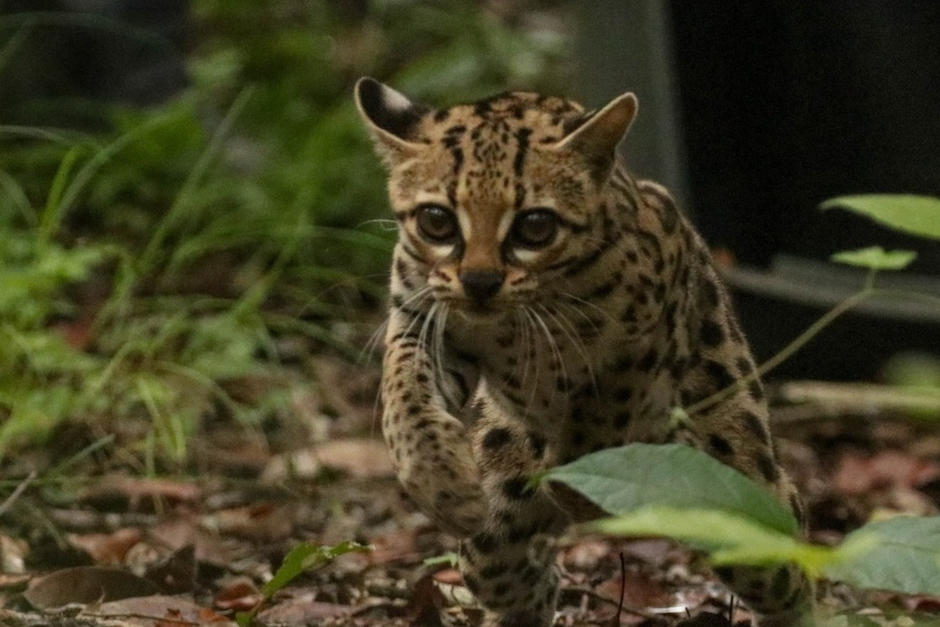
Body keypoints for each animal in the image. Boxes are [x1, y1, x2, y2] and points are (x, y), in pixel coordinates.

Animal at [356, 76, 812, 624]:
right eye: (437, 221)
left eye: (535, 225)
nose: (480, 282)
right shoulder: (420, 320)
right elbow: (404, 393)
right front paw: (437, 479)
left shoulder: (652, 323)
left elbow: (607, 405)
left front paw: (579, 489)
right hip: (498, 505)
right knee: (497, 561)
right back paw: (528, 590)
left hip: (737, 479)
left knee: (786, 548)